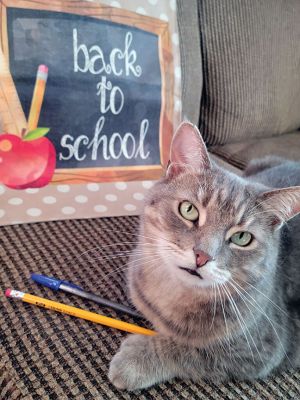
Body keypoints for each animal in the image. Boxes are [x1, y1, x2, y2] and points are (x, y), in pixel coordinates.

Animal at [108, 122, 300, 390]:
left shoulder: (261, 352)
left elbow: (193, 351)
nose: (202, 256)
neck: (173, 294)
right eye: (188, 210)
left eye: (242, 238)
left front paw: (136, 360)